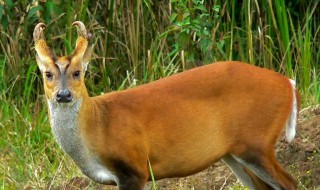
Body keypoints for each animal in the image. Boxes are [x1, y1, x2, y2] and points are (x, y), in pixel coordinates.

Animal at [34, 21, 300, 189]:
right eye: (48, 74)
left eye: (77, 72)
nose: (63, 95)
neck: (98, 126)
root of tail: (289, 84)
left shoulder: (134, 168)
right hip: (235, 153)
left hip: (256, 141)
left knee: (290, 182)